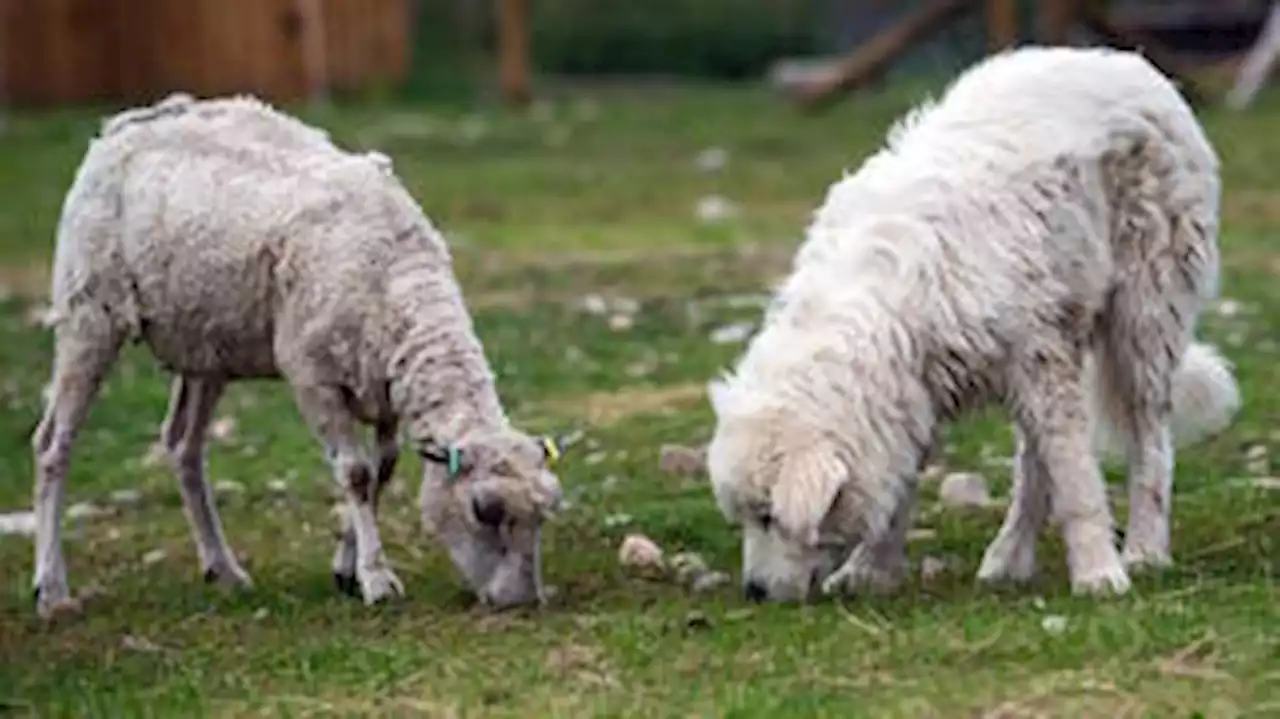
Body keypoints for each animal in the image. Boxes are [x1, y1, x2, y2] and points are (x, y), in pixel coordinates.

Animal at [30, 92, 565, 614]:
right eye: (483, 510)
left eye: (544, 513)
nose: (521, 602)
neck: (397, 275)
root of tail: (122, 125)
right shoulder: (313, 378)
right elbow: (356, 474)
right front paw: (377, 579)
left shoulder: (383, 387)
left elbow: (383, 468)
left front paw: (348, 568)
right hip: (89, 313)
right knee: (53, 444)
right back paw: (51, 588)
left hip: (207, 346)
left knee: (183, 446)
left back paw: (223, 569)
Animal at [711, 44, 1239, 601]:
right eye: (748, 517)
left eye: (768, 517)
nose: (754, 591)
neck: (885, 301)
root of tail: (1127, 62)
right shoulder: (922, 388)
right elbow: (904, 483)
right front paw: (871, 570)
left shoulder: (1036, 357)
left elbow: (1077, 481)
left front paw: (1099, 573)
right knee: (1035, 460)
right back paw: (1010, 557)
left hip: (1143, 317)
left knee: (1149, 441)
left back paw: (1145, 549)